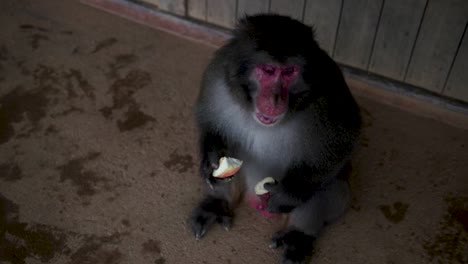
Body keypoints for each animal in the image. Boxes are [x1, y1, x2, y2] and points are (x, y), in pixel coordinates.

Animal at [188, 14, 360, 264]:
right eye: (268, 70)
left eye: (289, 72)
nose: (275, 100)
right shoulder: (218, 73)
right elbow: (208, 118)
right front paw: (211, 157)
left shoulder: (329, 90)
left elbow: (343, 140)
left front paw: (288, 195)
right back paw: (217, 204)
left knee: (331, 186)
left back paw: (299, 235)